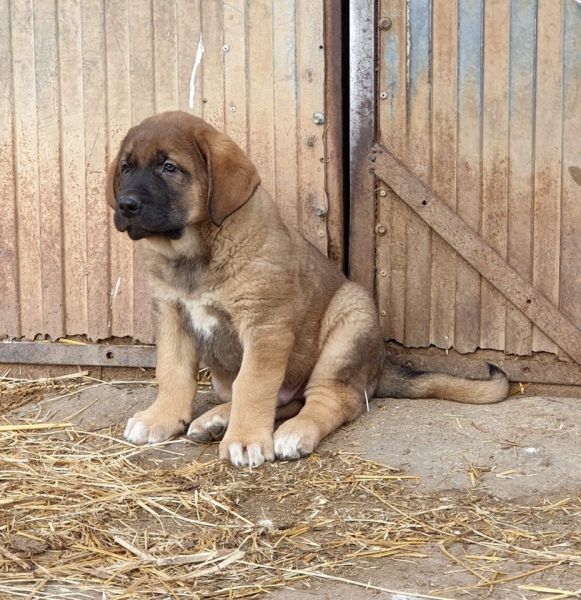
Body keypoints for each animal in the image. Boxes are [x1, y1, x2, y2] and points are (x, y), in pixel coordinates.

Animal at [105, 112, 508, 468]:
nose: (126, 205)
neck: (195, 253)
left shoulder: (265, 327)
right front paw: (161, 418)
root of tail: (379, 367)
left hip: (349, 321)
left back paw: (291, 433)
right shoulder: (171, 316)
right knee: (280, 400)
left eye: (169, 167)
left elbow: (254, 385)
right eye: (126, 168)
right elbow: (173, 373)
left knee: (330, 400)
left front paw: (246, 441)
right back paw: (218, 419)